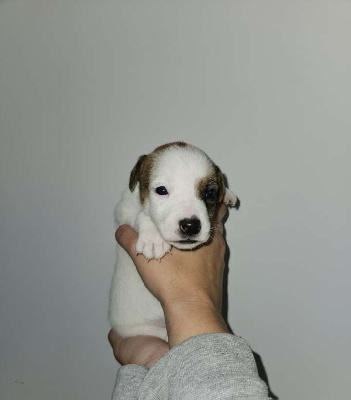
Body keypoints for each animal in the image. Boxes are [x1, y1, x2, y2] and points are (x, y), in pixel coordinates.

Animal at [109, 141, 239, 340]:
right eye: (161, 190)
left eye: (210, 193)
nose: (191, 225)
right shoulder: (123, 210)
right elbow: (140, 215)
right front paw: (153, 239)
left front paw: (228, 194)